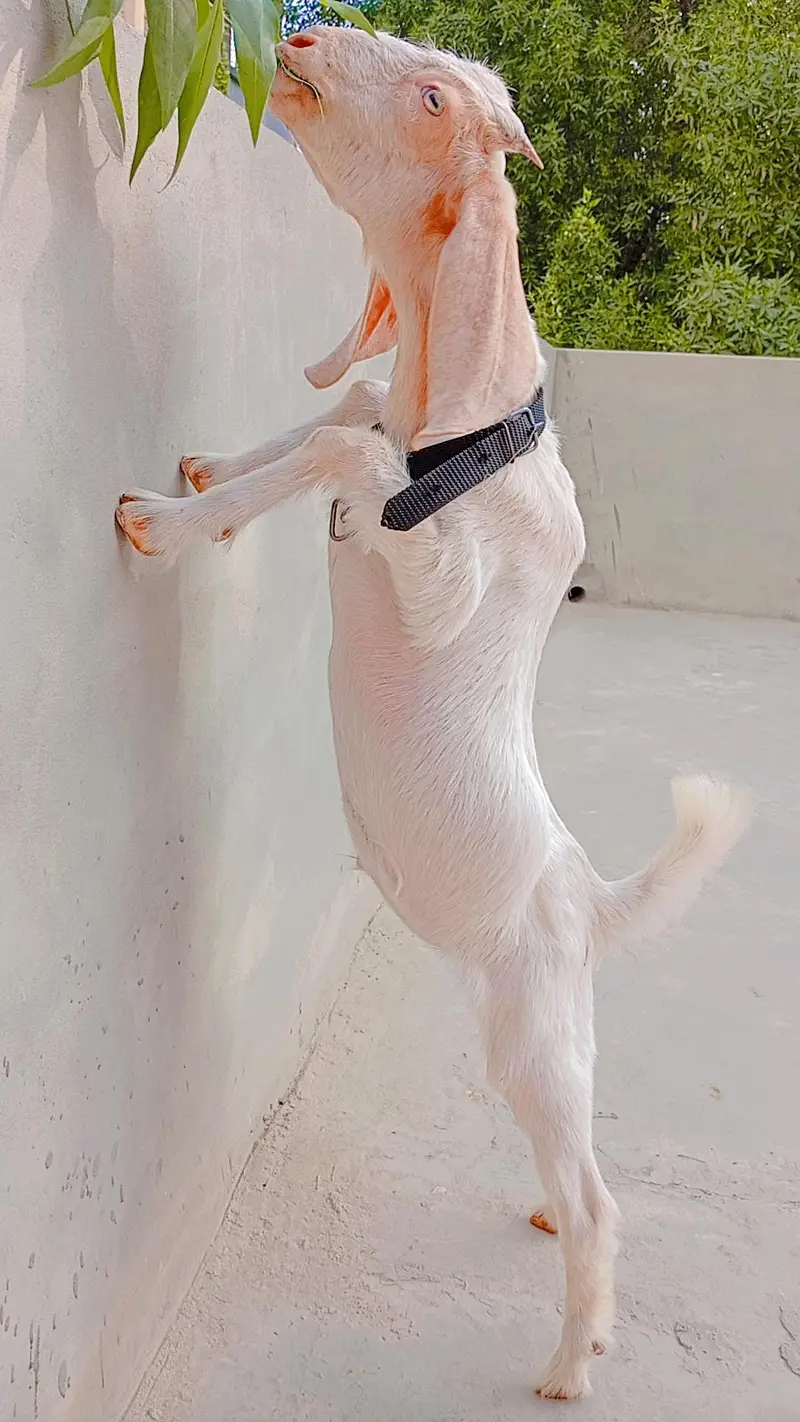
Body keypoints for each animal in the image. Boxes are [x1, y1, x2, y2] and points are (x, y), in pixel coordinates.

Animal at [115, 25, 750, 1400]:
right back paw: (550, 1221)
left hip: (531, 1034)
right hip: (532, 1036)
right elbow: (339, 412)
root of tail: (584, 901)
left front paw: (165, 523)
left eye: (428, 98)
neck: (464, 430)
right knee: (573, 1163)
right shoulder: (372, 420)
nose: (299, 34)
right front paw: (210, 474)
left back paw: (570, 1358)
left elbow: (345, 453)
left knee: (605, 1200)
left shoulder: (439, 577)